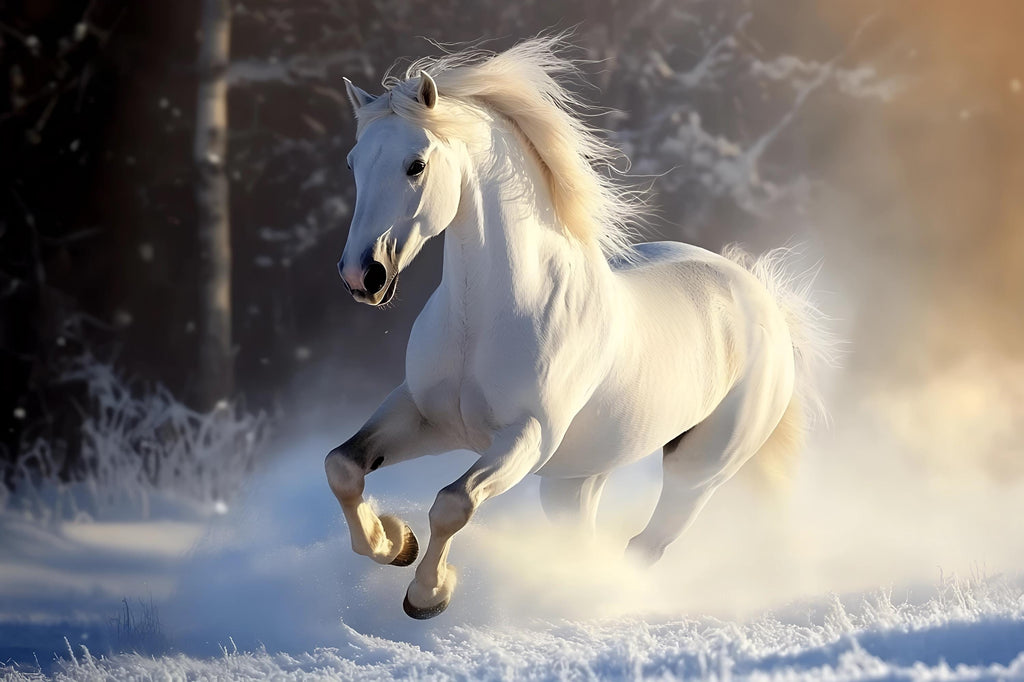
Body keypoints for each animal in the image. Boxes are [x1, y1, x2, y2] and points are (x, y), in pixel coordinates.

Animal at [324, 37, 831, 620]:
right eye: (354, 162)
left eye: (416, 164)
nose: (362, 275)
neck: (485, 319)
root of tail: (762, 301)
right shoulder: (424, 416)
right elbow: (343, 467)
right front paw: (394, 541)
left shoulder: (526, 437)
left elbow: (453, 503)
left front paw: (429, 594)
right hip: (577, 480)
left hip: (698, 471)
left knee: (644, 546)